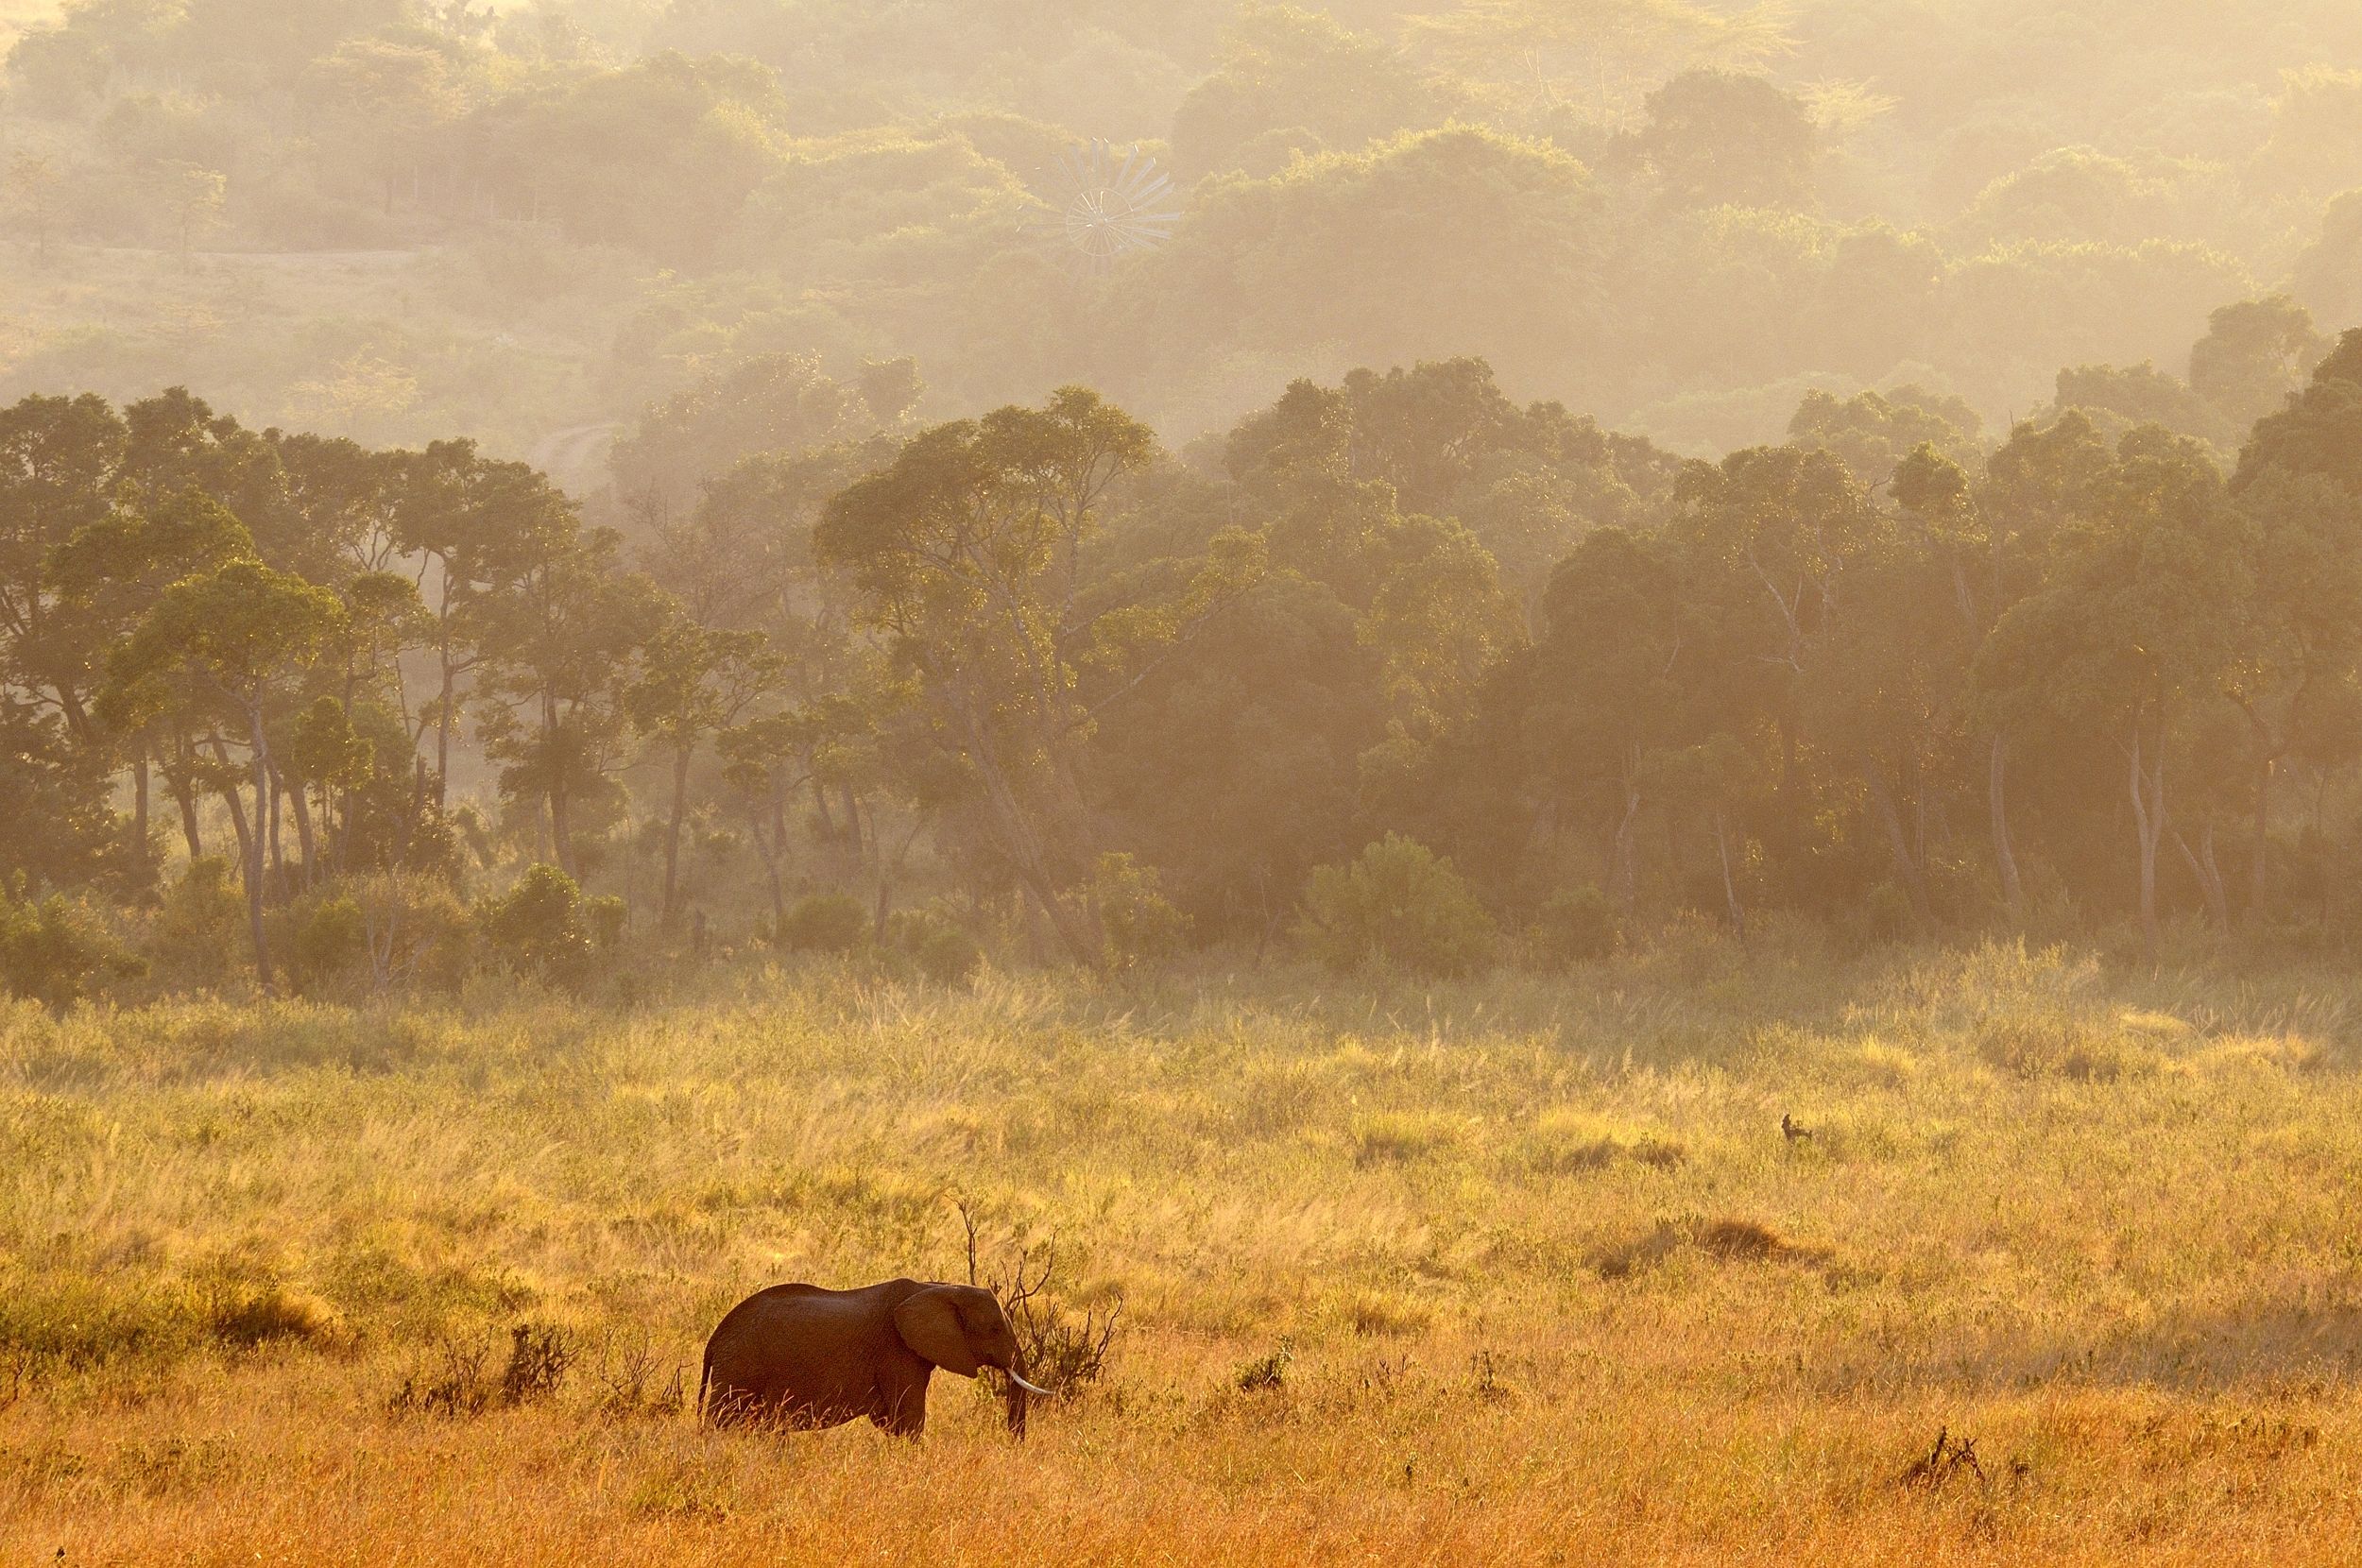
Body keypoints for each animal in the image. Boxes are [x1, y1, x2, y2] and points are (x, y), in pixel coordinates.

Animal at [699, 1278, 1051, 1437]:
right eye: (994, 1328)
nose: (1012, 1445)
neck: (937, 1287)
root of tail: (715, 1338)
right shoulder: (896, 1351)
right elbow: (909, 1420)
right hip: (739, 1368)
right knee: (723, 1419)